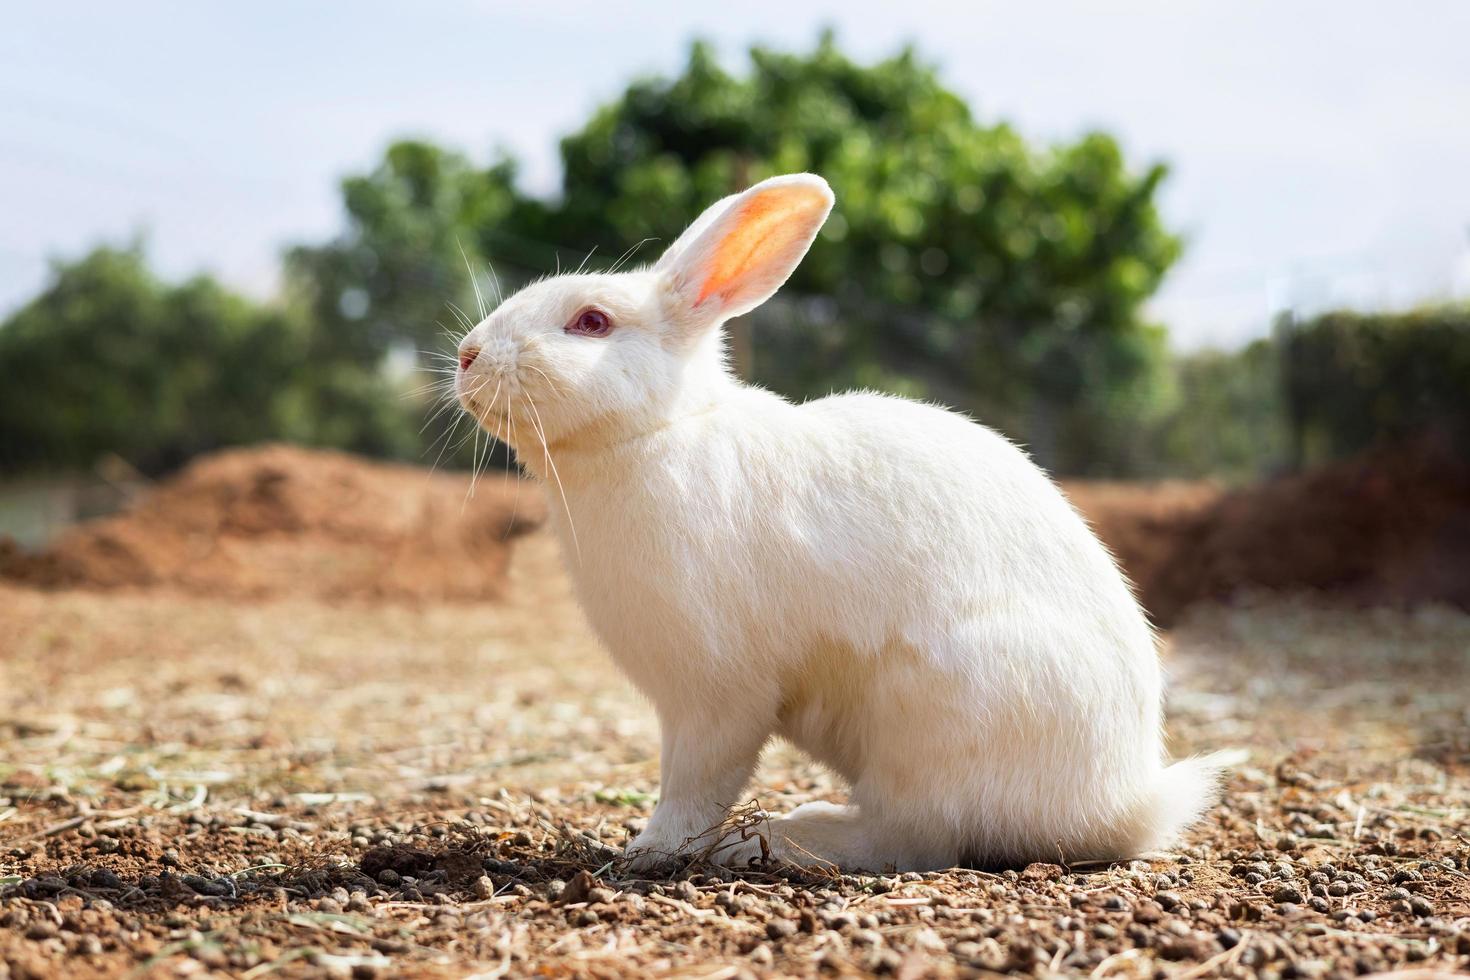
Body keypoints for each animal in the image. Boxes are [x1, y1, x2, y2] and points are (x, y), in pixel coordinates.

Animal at [452, 172, 1223, 869]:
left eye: (591, 322)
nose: (467, 355)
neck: (659, 432)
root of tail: (1126, 806)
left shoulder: (714, 694)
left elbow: (697, 782)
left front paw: (649, 851)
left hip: (928, 715)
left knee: (912, 837)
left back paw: (775, 839)